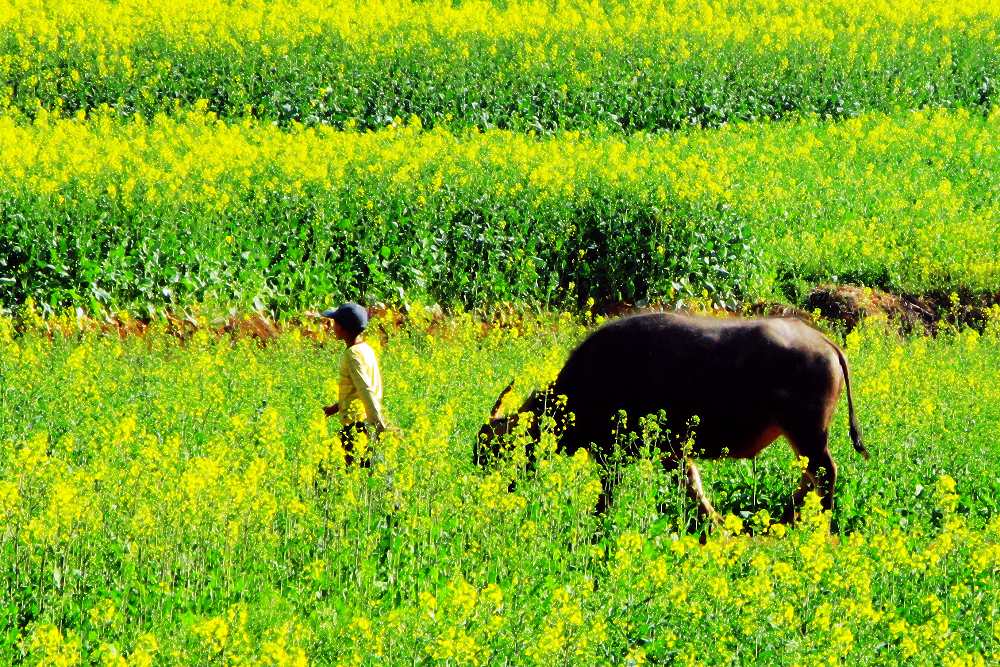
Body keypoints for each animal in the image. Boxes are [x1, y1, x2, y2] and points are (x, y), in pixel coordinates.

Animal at [476, 310, 868, 524]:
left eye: (496, 449)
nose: (491, 490)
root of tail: (826, 344)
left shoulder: (619, 455)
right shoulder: (672, 451)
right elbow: (692, 486)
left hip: (808, 433)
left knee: (824, 473)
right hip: (800, 437)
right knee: (810, 477)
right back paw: (787, 518)